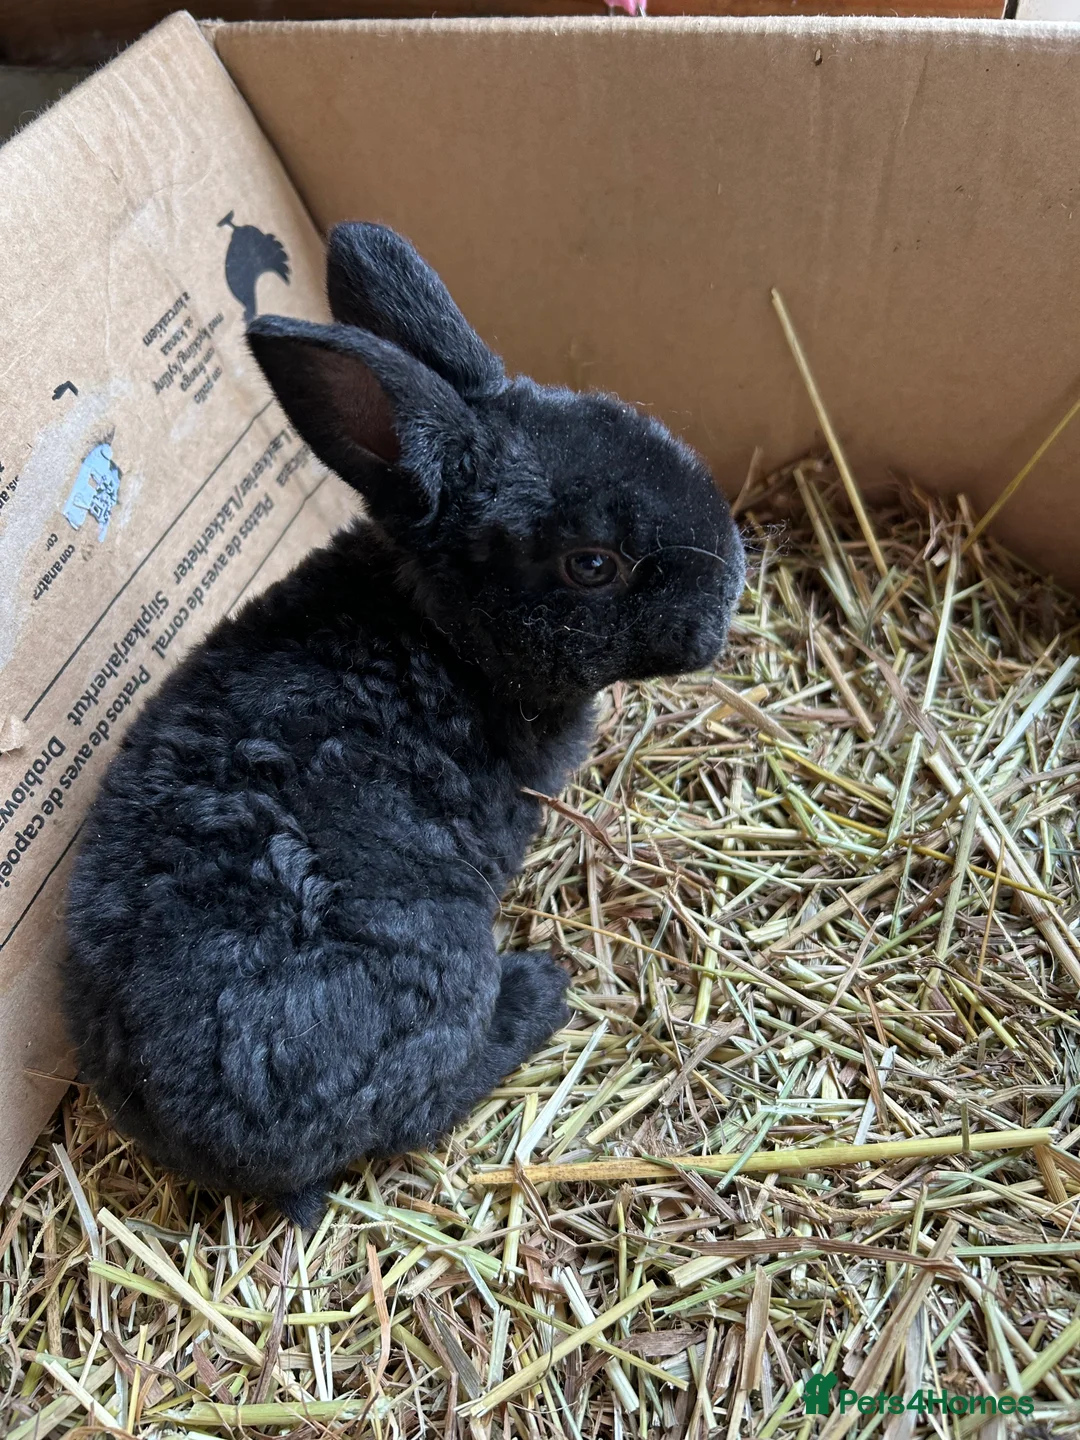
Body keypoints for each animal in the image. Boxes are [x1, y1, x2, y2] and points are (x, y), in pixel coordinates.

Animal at [63, 222, 746, 1227]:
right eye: (592, 564)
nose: (730, 594)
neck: (441, 629)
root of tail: (210, 1142)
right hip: (443, 964)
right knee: (431, 1091)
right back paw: (539, 989)